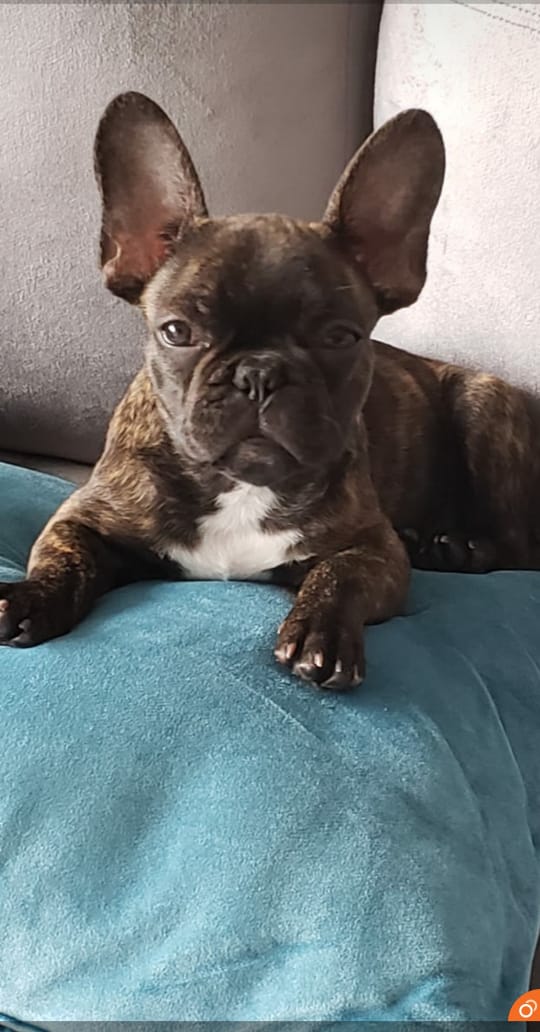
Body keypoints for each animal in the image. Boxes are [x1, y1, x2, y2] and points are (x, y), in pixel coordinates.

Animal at [1, 92, 538, 689]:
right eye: (176, 331)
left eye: (340, 337)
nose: (258, 373)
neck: (241, 487)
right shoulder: (83, 518)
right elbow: (60, 558)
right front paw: (26, 598)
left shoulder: (374, 548)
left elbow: (340, 574)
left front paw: (321, 634)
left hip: (485, 408)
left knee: (521, 548)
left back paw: (456, 549)